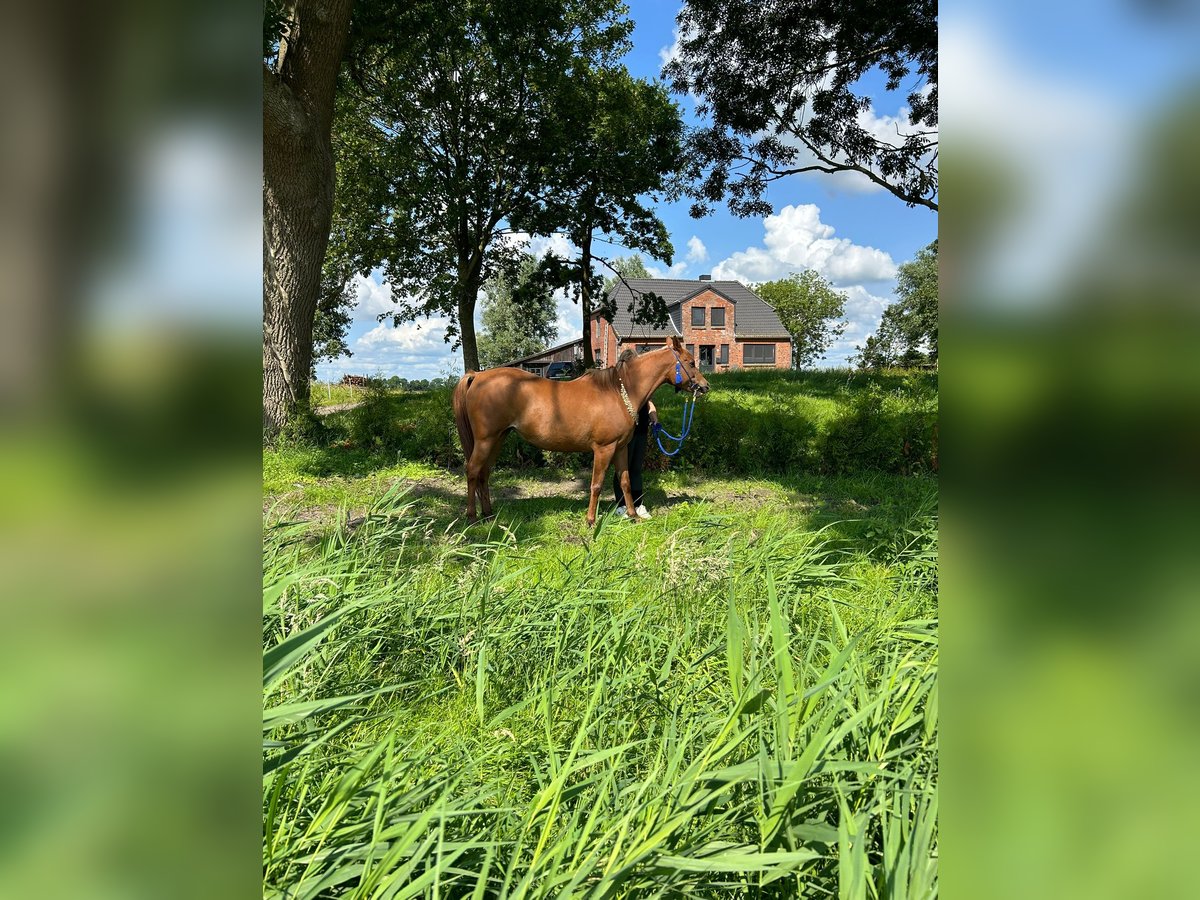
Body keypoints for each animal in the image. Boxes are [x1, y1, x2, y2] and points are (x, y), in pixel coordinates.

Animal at [453, 336, 705, 525]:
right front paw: (591, 520)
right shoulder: (604, 449)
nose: (704, 386)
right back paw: (472, 517)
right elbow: (596, 484)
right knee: (473, 471)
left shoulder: (621, 448)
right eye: (690, 362)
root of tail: (478, 375)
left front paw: (633, 515)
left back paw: (488, 514)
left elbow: (625, 481)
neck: (619, 392)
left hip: (498, 438)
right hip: (485, 440)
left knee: (484, 473)